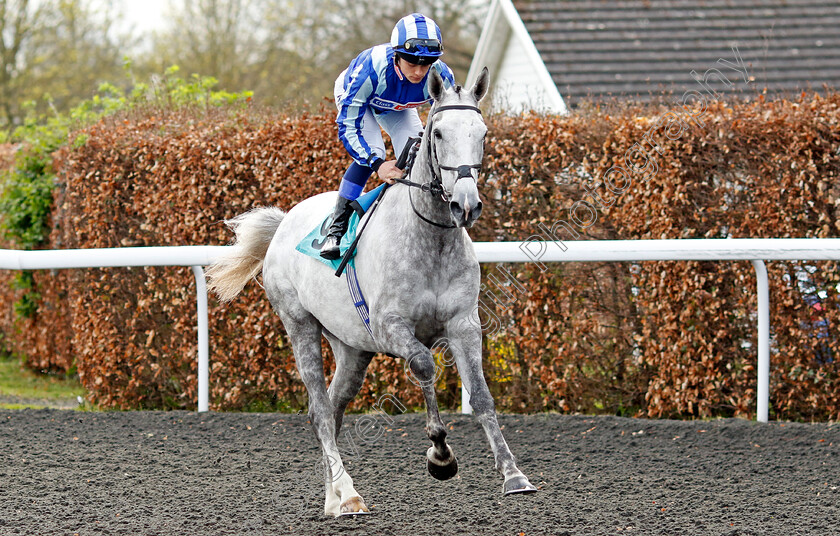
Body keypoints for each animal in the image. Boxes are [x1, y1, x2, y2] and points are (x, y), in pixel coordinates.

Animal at [208, 67, 540, 516]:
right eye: (438, 133)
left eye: (483, 133)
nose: (466, 205)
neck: (431, 239)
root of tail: (283, 222)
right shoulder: (390, 327)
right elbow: (425, 366)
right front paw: (440, 456)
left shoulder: (464, 324)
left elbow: (483, 396)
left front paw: (513, 475)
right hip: (299, 324)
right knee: (320, 410)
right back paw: (348, 494)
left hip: (351, 347)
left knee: (331, 407)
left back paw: (333, 495)